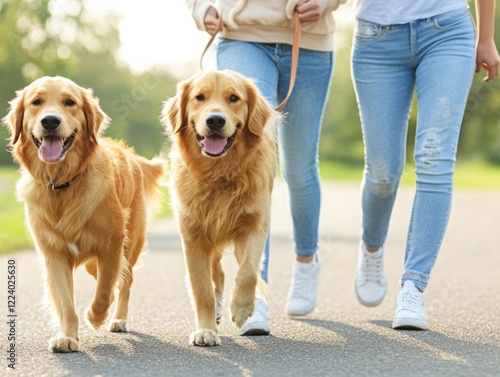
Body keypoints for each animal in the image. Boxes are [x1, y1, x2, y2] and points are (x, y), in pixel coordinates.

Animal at [2, 76, 165, 352]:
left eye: (70, 102)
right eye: (37, 102)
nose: (50, 121)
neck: (63, 184)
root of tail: (130, 154)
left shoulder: (112, 243)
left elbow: (104, 291)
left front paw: (96, 316)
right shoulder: (54, 253)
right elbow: (66, 302)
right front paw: (67, 337)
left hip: (131, 243)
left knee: (125, 281)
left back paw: (118, 319)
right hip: (92, 262)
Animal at [162, 69, 280, 346]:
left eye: (234, 98)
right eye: (200, 97)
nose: (215, 120)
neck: (219, 175)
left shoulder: (255, 226)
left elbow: (248, 271)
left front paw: (242, 308)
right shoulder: (193, 236)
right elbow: (202, 288)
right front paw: (205, 330)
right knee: (216, 274)